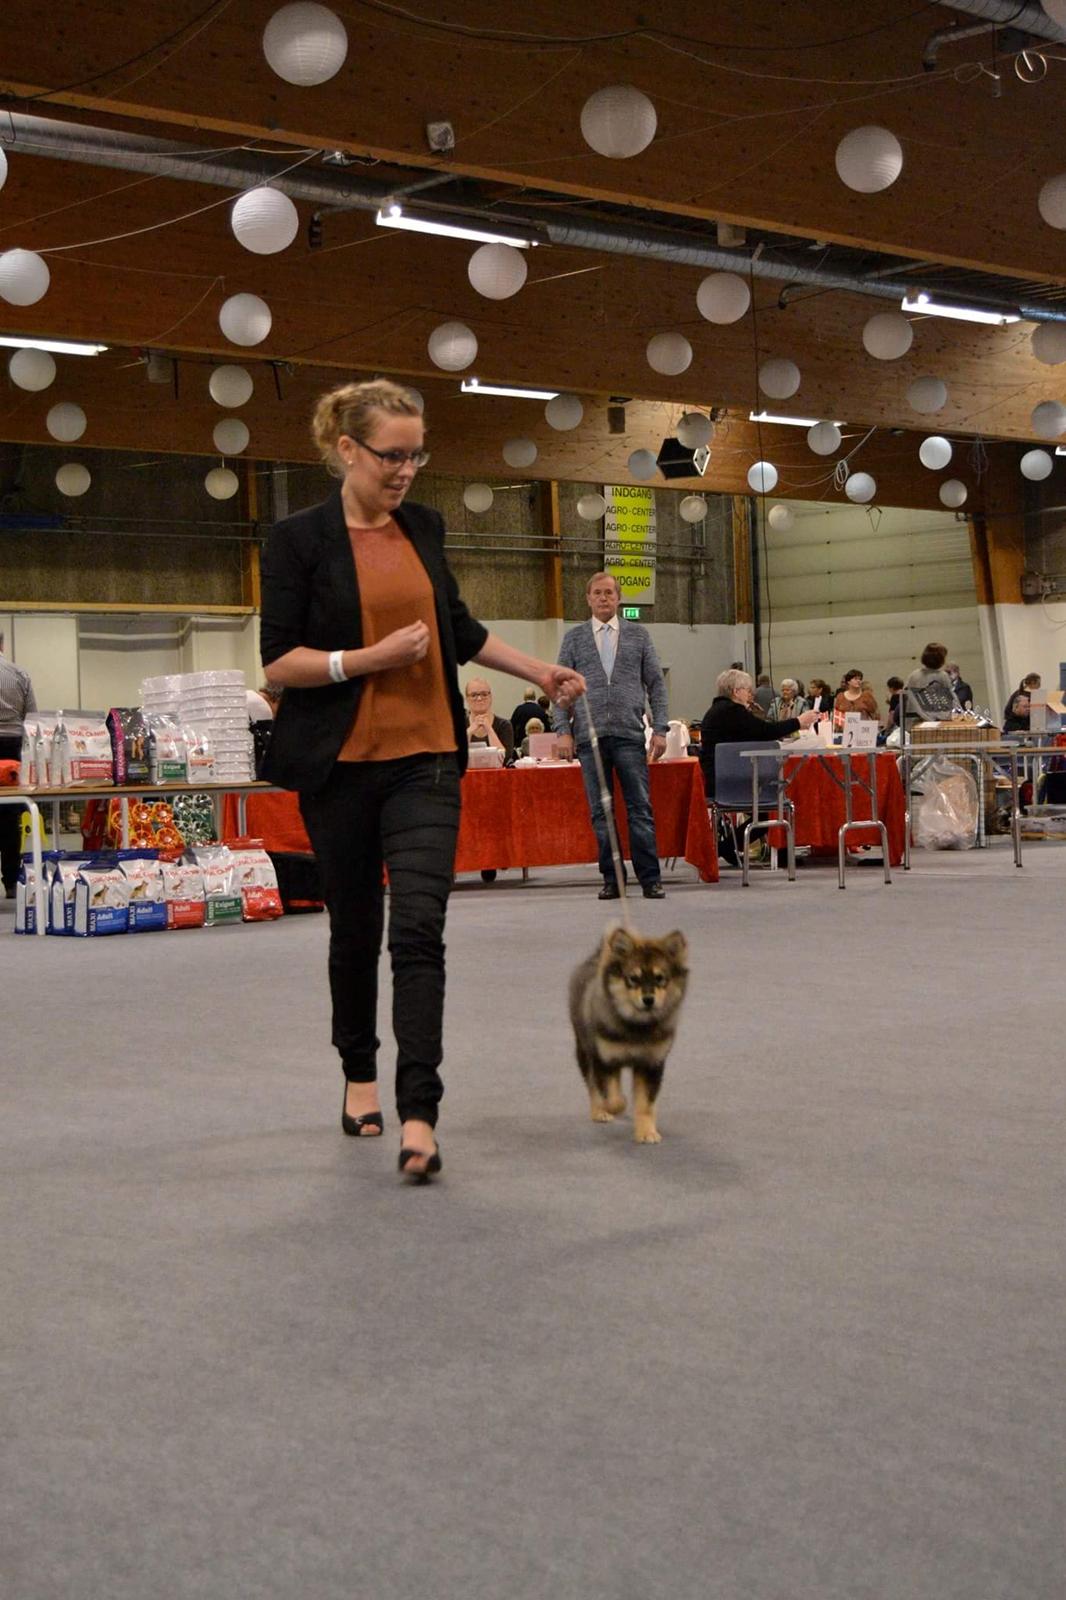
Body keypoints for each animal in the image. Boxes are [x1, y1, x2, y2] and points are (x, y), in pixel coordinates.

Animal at [569, 921, 685, 1145]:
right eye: (633, 978)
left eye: (660, 978)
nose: (648, 999)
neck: (636, 1025)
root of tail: (596, 956)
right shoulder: (604, 1059)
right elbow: (611, 1096)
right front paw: (615, 1106)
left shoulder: (651, 1063)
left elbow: (645, 1104)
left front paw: (647, 1131)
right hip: (584, 1049)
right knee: (592, 1085)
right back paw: (599, 1112)